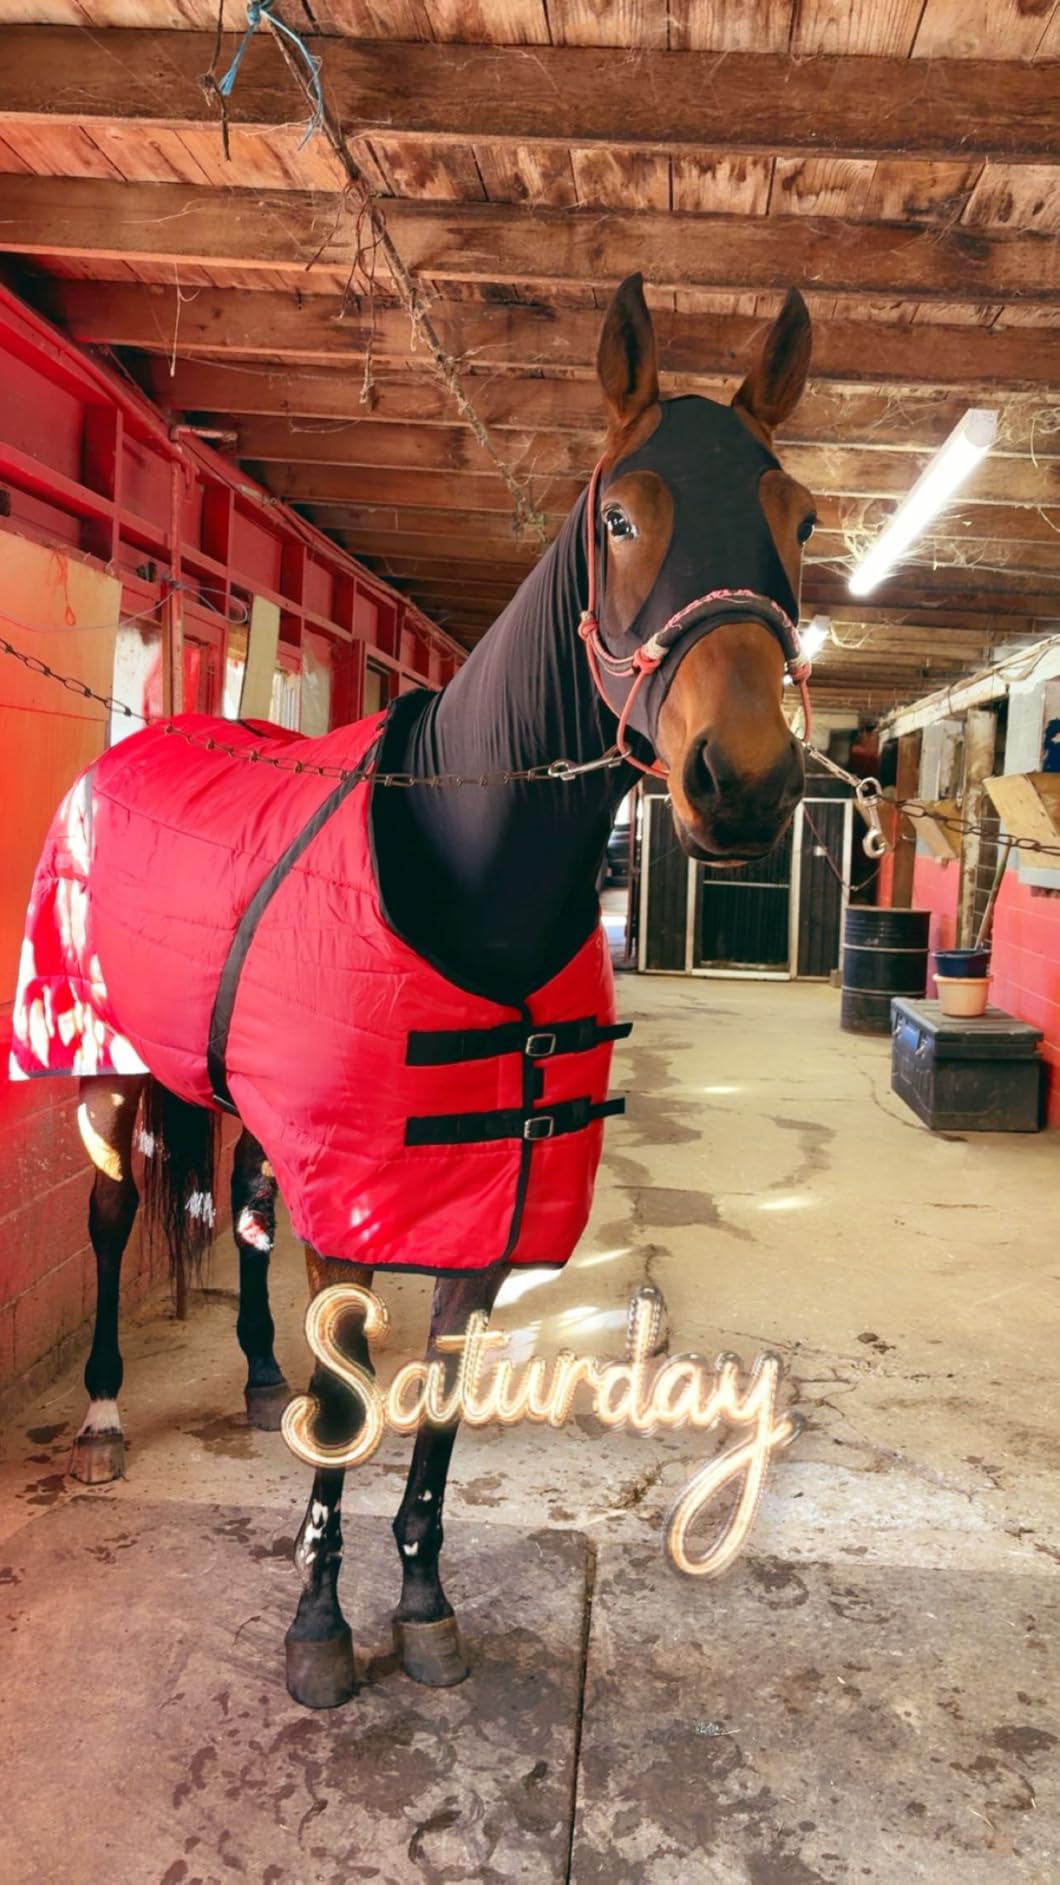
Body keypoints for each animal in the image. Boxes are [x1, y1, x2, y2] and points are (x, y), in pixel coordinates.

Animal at [10, 273, 817, 1710]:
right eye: (621, 514)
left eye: (801, 518)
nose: (745, 780)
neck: (468, 880)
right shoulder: (359, 1196)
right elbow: (348, 1412)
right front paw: (319, 1630)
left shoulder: (473, 1210)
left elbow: (431, 1412)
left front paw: (426, 1603)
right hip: (99, 1064)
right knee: (111, 1222)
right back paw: (102, 1415)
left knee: (249, 1205)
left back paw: (254, 1374)